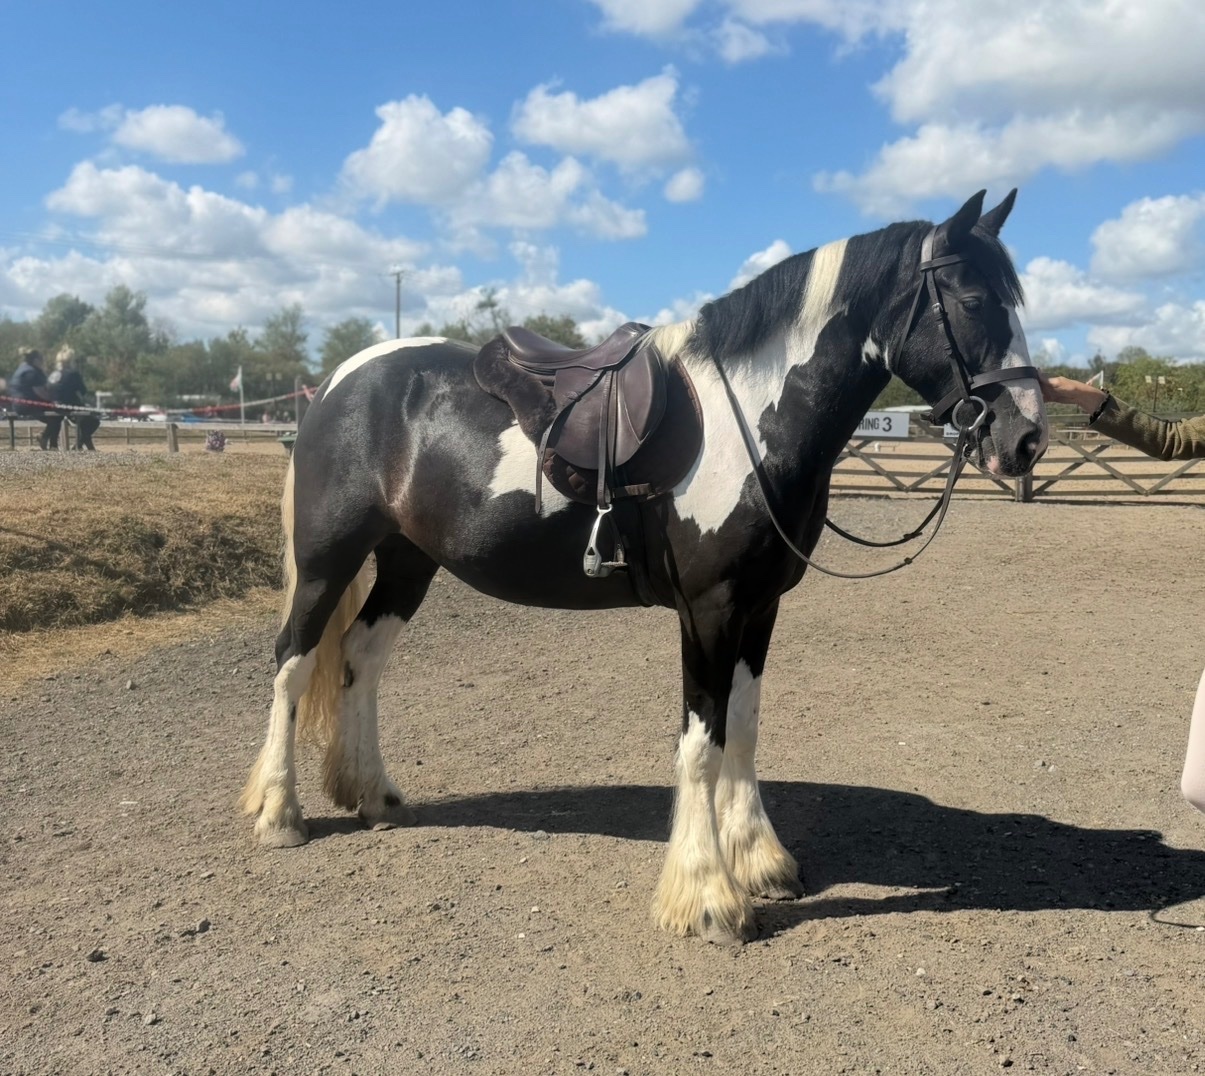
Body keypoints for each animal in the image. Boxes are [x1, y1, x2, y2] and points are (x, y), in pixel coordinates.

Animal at [242, 189, 1048, 945]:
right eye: (972, 300)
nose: (1027, 439)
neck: (752, 418)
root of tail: (341, 381)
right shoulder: (709, 608)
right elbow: (699, 744)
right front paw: (707, 898)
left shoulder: (761, 605)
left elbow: (743, 726)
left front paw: (760, 861)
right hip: (328, 559)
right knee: (292, 664)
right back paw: (281, 814)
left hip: (408, 561)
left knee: (361, 657)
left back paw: (373, 796)